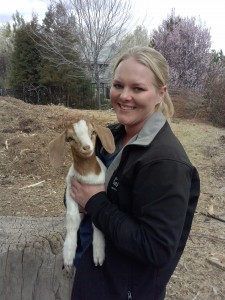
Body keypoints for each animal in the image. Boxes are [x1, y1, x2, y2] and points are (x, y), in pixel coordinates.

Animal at [48, 117, 116, 274]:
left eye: (93, 132)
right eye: (71, 138)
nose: (87, 147)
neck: (87, 175)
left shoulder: (99, 195)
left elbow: (98, 221)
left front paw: (98, 254)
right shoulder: (70, 190)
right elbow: (72, 219)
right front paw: (68, 255)